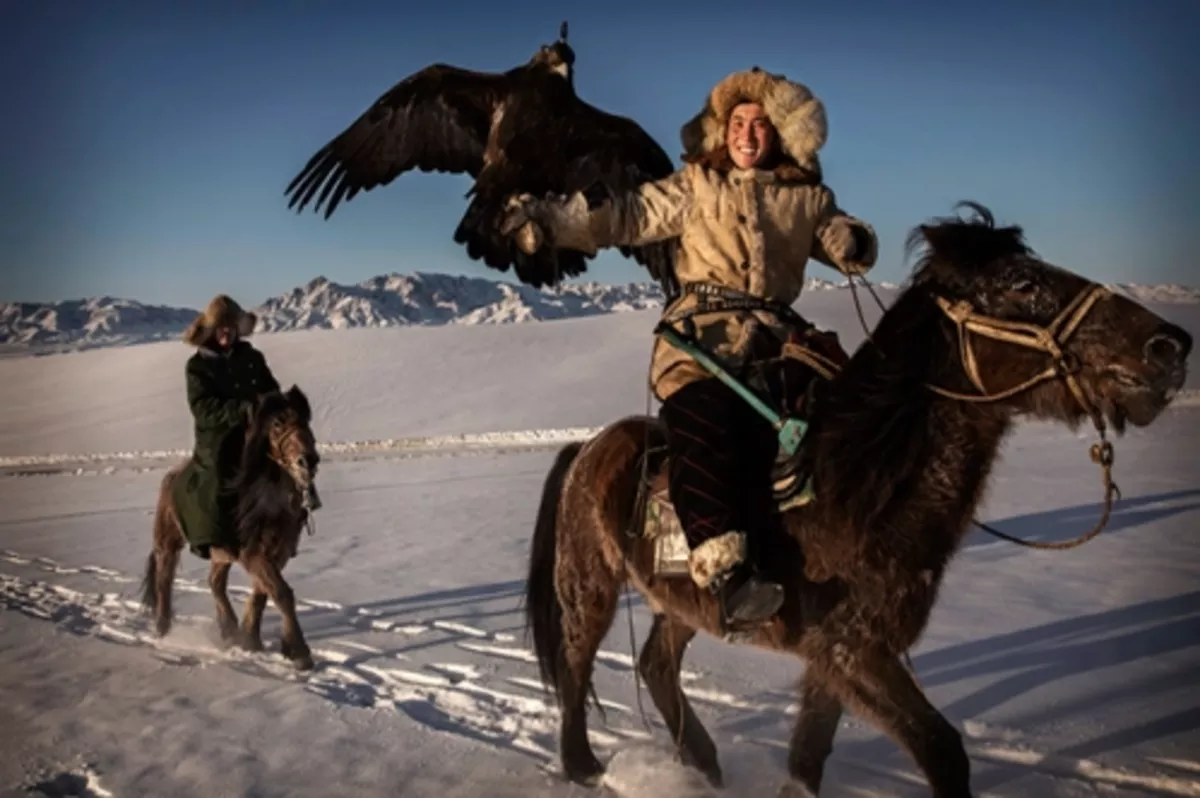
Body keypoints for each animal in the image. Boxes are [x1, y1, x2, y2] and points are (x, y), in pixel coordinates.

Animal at [139, 384, 324, 667]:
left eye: (306, 420)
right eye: (278, 423)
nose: (308, 461)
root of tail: (171, 477)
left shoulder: (277, 554)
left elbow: (262, 594)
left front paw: (250, 639)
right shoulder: (253, 554)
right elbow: (281, 593)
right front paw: (299, 652)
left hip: (220, 554)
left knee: (215, 582)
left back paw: (228, 629)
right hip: (168, 543)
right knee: (164, 580)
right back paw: (163, 630)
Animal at [523, 205, 1190, 796]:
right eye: (1023, 283)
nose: (1170, 345)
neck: (852, 483)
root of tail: (588, 449)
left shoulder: (834, 656)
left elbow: (809, 757)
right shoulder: (854, 650)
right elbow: (941, 750)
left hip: (684, 601)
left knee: (656, 663)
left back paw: (705, 766)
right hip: (589, 581)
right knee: (577, 661)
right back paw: (584, 767)